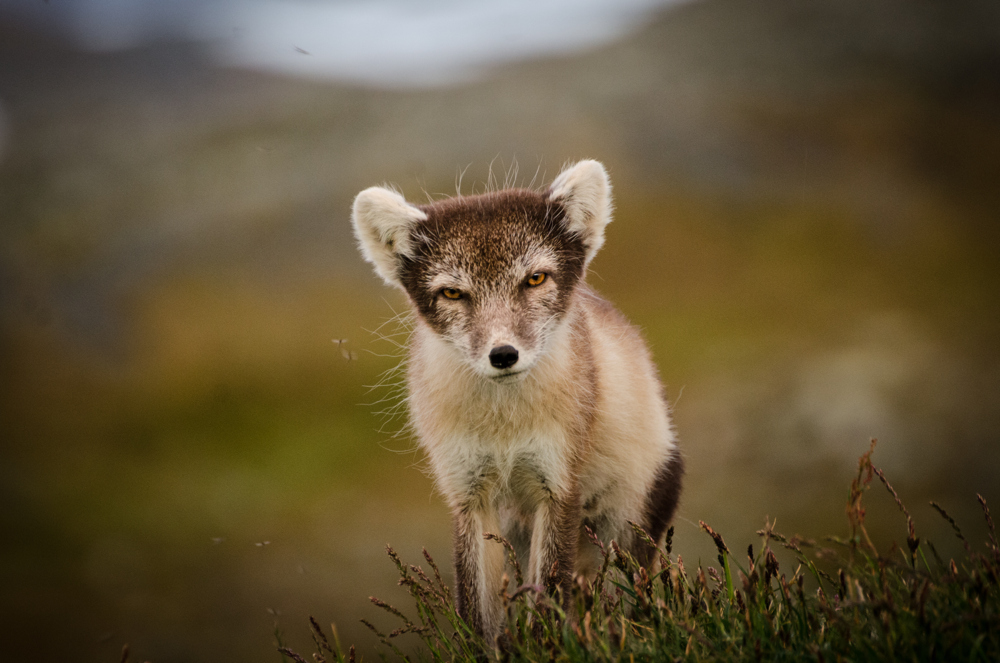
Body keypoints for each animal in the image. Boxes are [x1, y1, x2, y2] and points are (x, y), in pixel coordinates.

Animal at [351, 160, 683, 643]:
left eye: (535, 278)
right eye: (453, 293)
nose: (503, 354)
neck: (505, 429)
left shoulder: (558, 486)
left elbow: (549, 599)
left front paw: (552, 646)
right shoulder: (468, 494)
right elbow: (478, 617)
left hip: (626, 526)